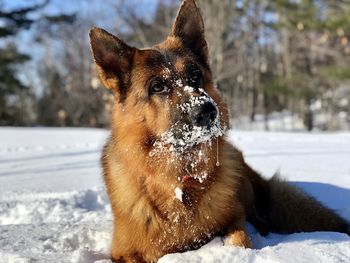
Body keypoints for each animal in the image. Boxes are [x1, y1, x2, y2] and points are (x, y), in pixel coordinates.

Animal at [89, 0, 348, 262]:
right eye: (158, 86)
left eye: (195, 75)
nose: (206, 112)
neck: (181, 180)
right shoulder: (124, 252)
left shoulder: (235, 218)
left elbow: (241, 240)